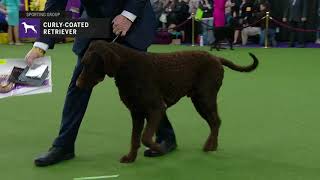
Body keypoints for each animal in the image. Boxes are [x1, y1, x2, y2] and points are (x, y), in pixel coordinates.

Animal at [76, 40, 258, 163]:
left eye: (88, 63)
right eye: (82, 62)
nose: (77, 84)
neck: (128, 67)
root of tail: (216, 57)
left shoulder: (156, 108)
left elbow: (145, 137)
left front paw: (160, 149)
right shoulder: (136, 112)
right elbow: (134, 138)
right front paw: (130, 157)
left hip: (204, 99)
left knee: (215, 121)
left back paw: (209, 146)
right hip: (200, 100)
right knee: (215, 122)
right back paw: (212, 145)